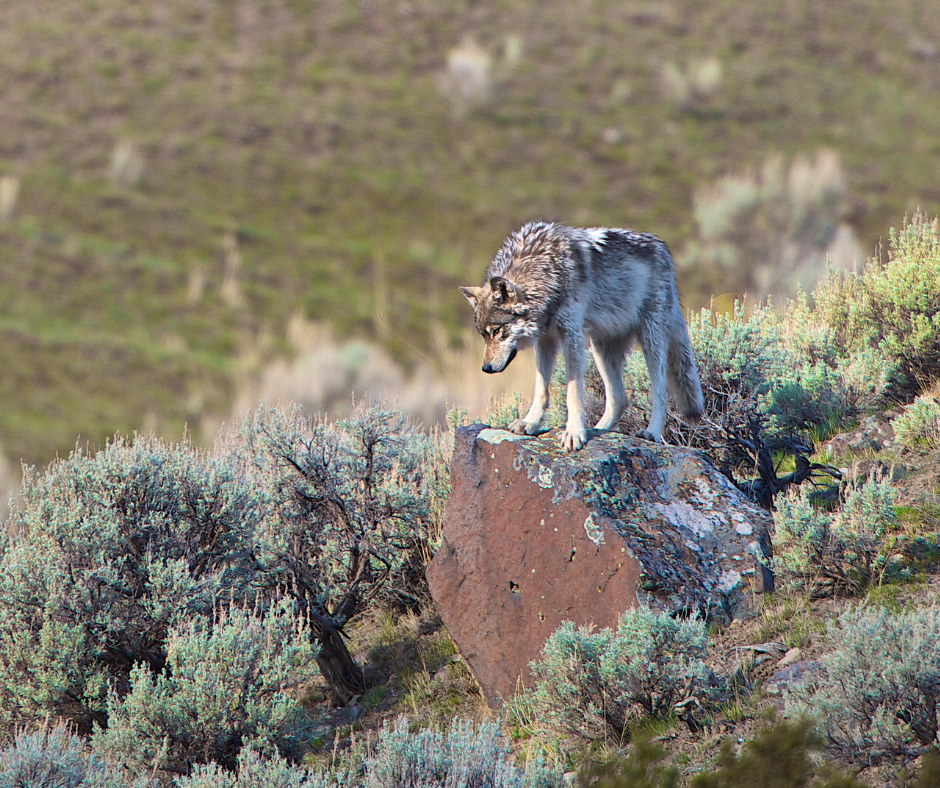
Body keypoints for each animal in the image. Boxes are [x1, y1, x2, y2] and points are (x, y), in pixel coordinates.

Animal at [460, 221, 704, 451]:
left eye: (496, 331)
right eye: (483, 335)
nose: (486, 368)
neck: (544, 272)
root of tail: (663, 249)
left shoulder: (571, 335)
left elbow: (573, 393)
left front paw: (574, 433)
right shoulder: (546, 341)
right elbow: (541, 389)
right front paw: (531, 423)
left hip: (650, 342)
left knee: (660, 394)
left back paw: (650, 432)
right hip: (600, 350)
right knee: (619, 399)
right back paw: (599, 429)